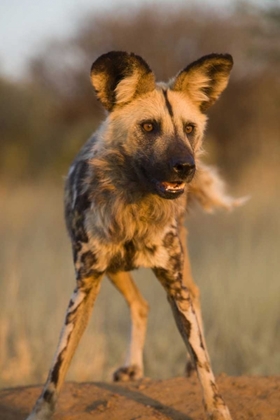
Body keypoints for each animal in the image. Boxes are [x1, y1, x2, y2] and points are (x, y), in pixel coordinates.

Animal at [27, 50, 240, 418]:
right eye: (148, 127)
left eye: (189, 129)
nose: (186, 167)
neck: (136, 208)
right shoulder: (84, 287)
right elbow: (57, 368)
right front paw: (40, 411)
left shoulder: (173, 283)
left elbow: (203, 363)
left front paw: (217, 408)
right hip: (113, 272)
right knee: (140, 305)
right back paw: (133, 368)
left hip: (176, 272)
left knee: (192, 296)